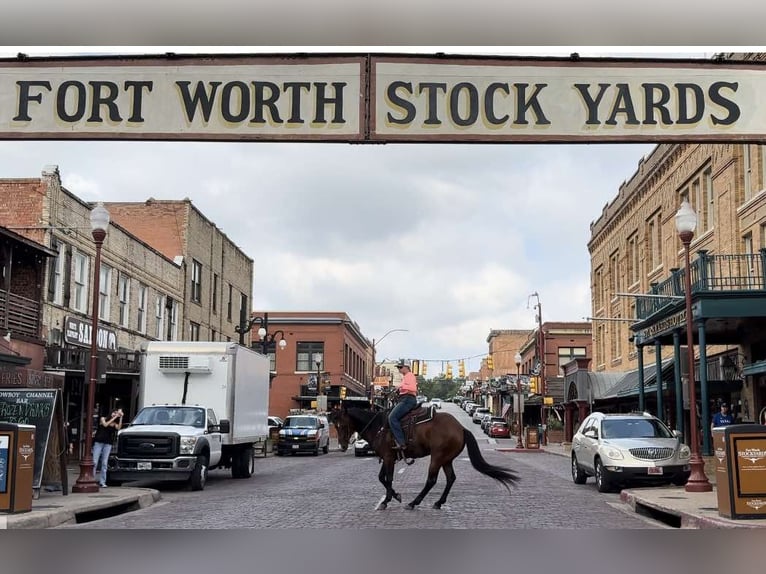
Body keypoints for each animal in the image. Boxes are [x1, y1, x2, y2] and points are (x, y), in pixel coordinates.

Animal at [332, 408, 520, 510]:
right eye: (334, 425)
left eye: (343, 425)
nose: (342, 446)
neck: (379, 427)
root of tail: (460, 428)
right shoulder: (387, 457)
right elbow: (381, 478)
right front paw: (394, 496)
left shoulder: (388, 457)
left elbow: (388, 479)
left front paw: (388, 500)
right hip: (446, 459)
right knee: (451, 478)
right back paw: (438, 502)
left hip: (437, 457)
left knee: (431, 480)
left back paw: (414, 503)